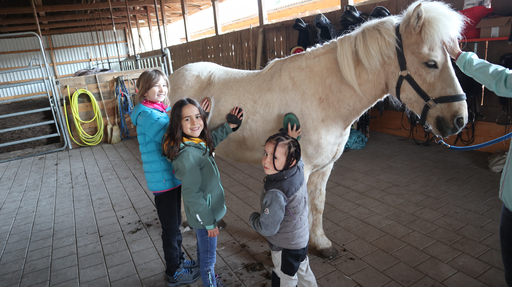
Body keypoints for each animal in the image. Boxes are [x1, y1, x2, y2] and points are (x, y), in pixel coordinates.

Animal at [168, 0, 468, 260]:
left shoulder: (324, 168)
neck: (323, 94)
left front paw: (321, 244)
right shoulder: (303, 168)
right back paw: (185, 221)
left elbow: (318, 205)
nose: (459, 120)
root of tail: (173, 77)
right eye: (431, 63)